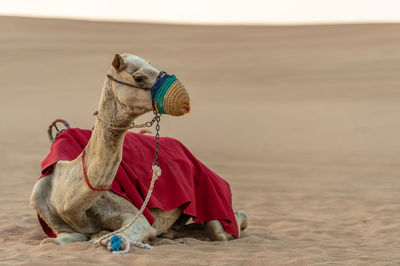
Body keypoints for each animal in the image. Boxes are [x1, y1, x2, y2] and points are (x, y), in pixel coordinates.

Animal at [30, 54, 247, 247]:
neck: (66, 200)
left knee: (220, 228)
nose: (183, 99)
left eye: (157, 69)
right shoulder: (60, 228)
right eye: (139, 77)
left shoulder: (137, 219)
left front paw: (101, 235)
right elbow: (48, 241)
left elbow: (120, 235)